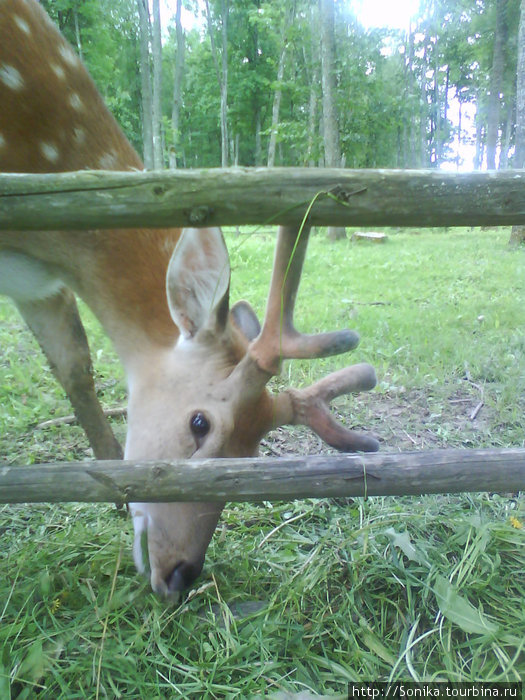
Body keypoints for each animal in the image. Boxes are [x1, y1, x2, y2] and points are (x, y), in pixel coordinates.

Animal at [0, 0, 378, 596]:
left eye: (253, 451)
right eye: (201, 424)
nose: (181, 574)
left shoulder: (38, 284)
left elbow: (74, 368)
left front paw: (112, 487)